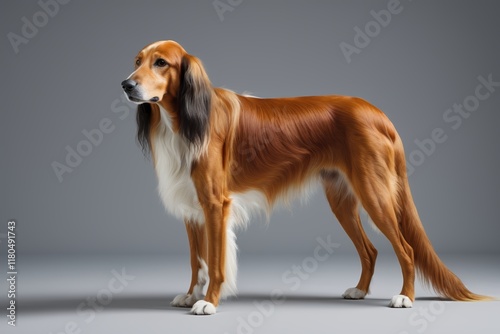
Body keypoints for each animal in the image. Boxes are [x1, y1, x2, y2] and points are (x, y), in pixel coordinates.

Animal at [121, 40, 488, 314]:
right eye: (137, 61)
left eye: (161, 63)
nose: (126, 84)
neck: (185, 120)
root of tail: (378, 113)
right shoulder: (192, 208)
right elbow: (195, 262)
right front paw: (190, 295)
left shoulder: (214, 205)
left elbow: (214, 263)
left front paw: (208, 302)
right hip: (342, 200)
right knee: (370, 250)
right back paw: (359, 290)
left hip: (374, 194)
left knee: (407, 249)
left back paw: (405, 297)